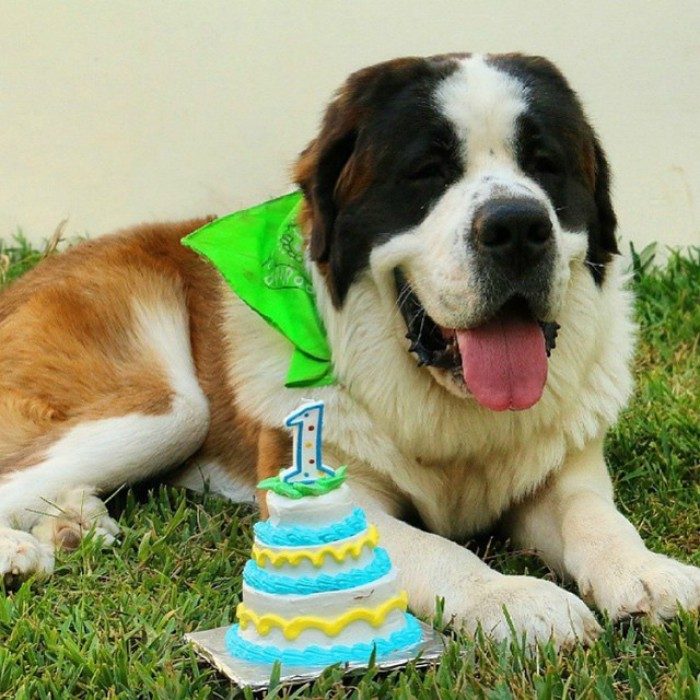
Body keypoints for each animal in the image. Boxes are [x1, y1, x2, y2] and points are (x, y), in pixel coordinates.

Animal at [1, 53, 700, 644]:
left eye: (545, 163)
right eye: (426, 171)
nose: (518, 226)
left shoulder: (566, 471)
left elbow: (595, 518)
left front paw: (647, 572)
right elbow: (442, 551)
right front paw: (515, 600)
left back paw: (74, 524)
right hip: (168, 408)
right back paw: (22, 550)